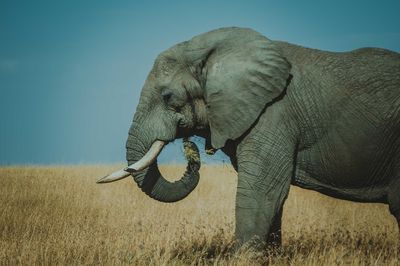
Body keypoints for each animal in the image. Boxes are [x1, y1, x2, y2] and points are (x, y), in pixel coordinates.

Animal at [97, 27, 400, 249]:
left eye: (168, 97)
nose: (190, 148)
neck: (212, 52)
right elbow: (272, 198)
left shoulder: (274, 114)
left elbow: (261, 191)